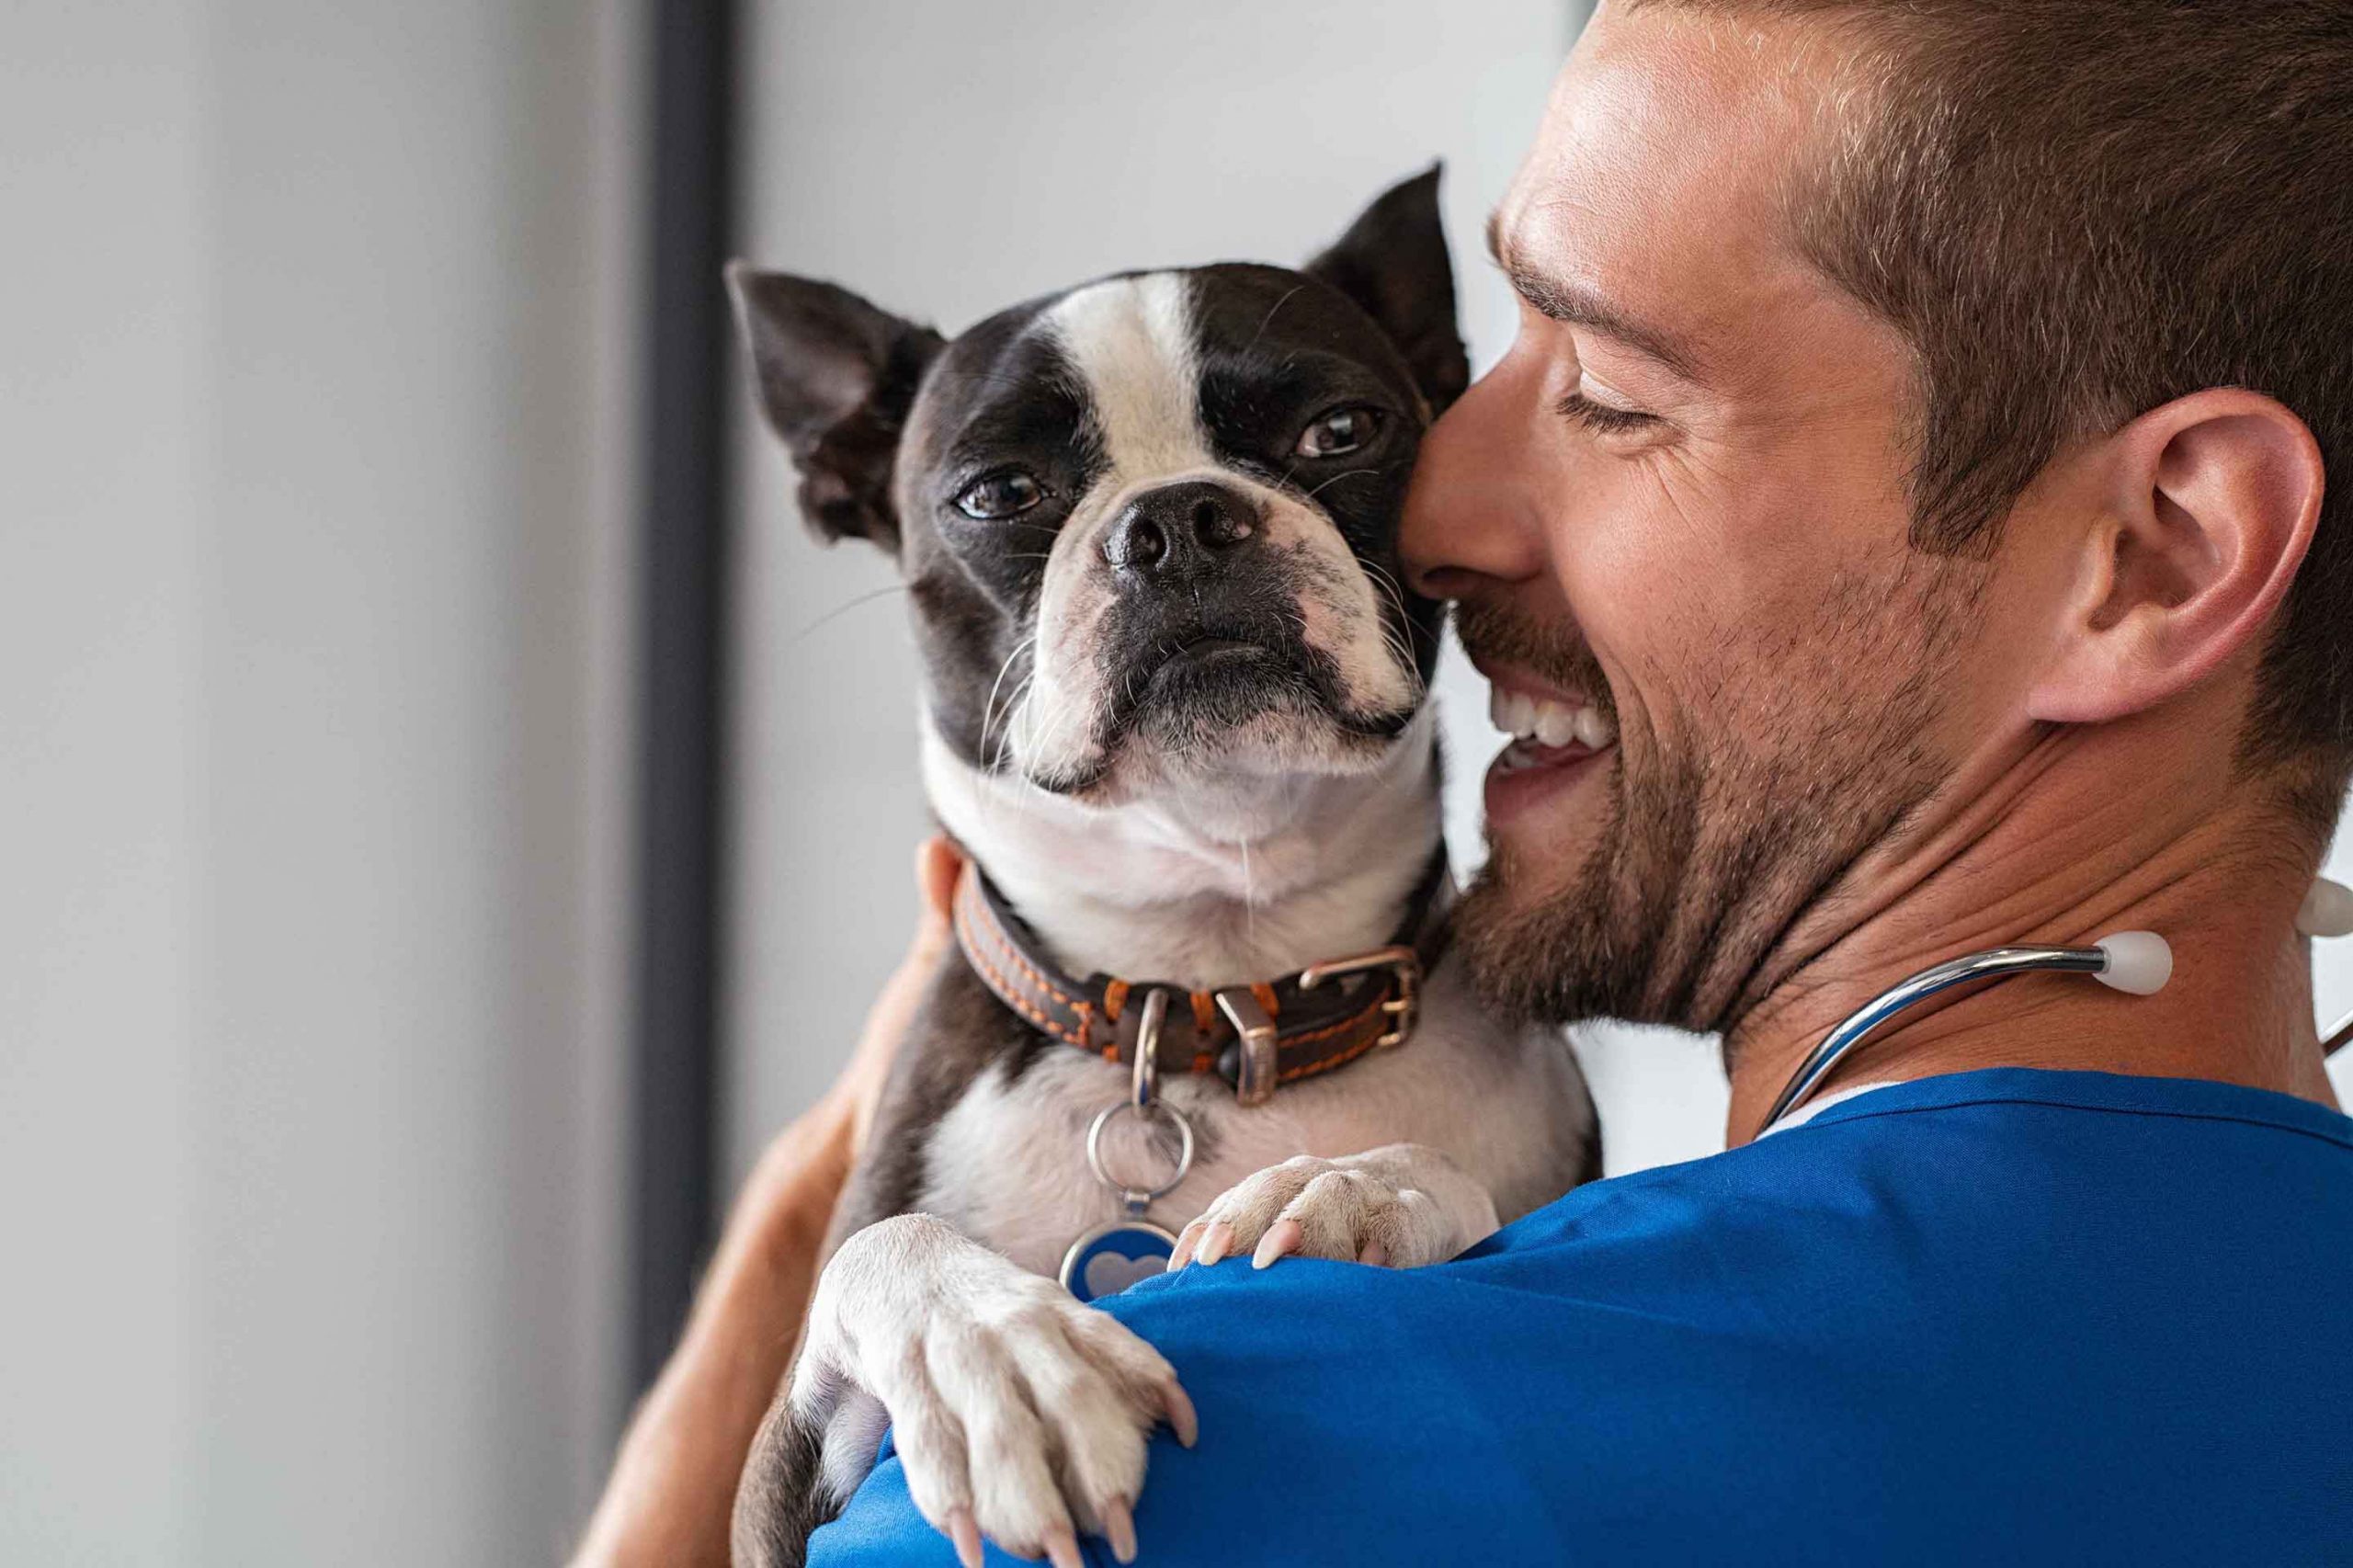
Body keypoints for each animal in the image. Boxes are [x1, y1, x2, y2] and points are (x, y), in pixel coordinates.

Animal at [715, 170, 1599, 1562]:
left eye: (1341, 429)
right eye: (998, 492)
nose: (1179, 518)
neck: (1209, 989)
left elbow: (1447, 1179)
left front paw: (1358, 1186)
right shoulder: (772, 1487)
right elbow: (886, 1248)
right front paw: (996, 1353)